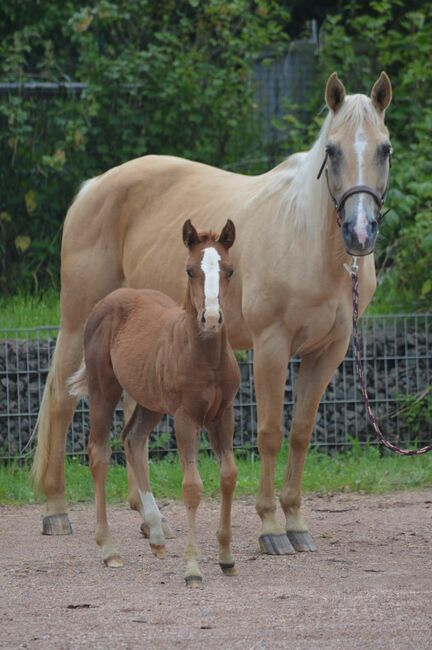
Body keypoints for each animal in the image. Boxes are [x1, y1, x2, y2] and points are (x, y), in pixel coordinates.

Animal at [69, 219, 241, 588]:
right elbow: (192, 487)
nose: (211, 318)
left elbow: (228, 476)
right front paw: (192, 568)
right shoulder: (186, 418)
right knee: (99, 452)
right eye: (190, 270)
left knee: (133, 439)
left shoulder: (223, 415)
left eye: (230, 270)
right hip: (104, 390)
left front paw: (226, 558)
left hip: (151, 402)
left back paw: (157, 534)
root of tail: (109, 300)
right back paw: (109, 549)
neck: (205, 357)